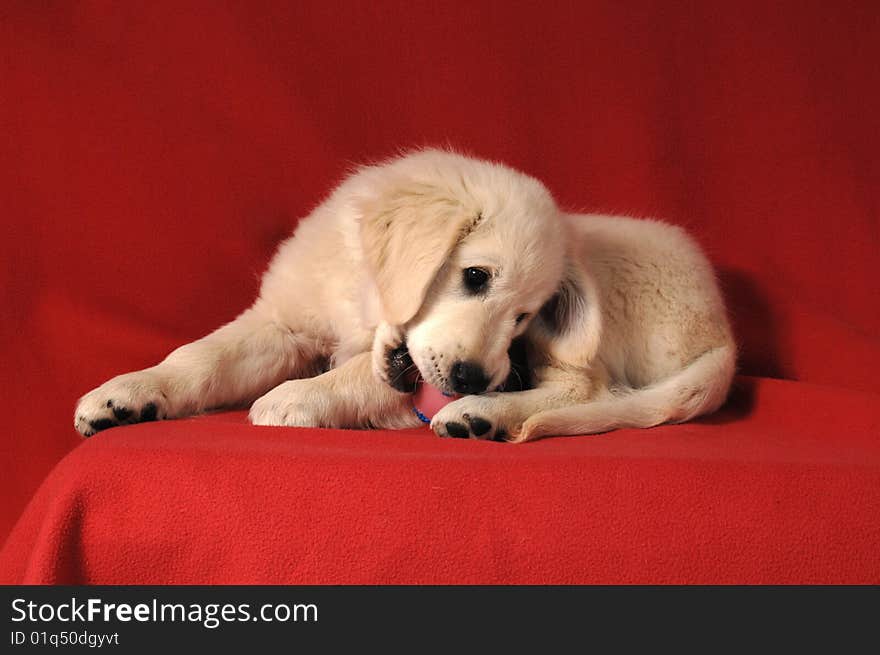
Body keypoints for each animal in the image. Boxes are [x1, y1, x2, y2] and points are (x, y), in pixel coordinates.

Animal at [74, 150, 736, 440]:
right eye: (476, 276)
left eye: (524, 317)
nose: (473, 378)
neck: (362, 298)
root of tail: (724, 330)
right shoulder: (284, 321)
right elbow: (199, 356)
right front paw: (128, 393)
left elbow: (352, 377)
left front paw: (293, 398)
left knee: (585, 389)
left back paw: (478, 416)